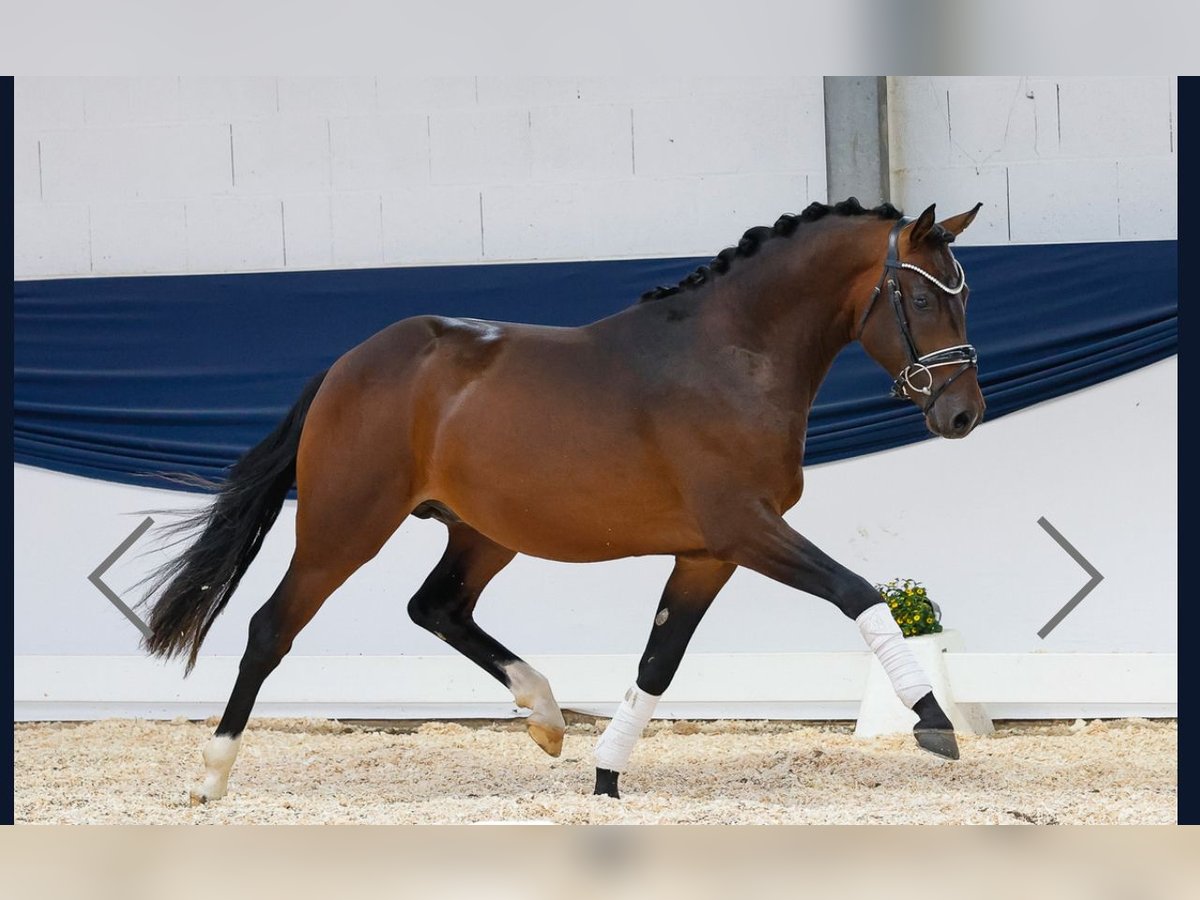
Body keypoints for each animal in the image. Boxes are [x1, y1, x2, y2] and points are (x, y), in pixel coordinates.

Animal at [140, 196, 984, 801]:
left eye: (964, 296)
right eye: (923, 300)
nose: (962, 414)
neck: (732, 355)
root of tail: (348, 365)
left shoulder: (707, 554)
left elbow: (658, 662)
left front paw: (606, 775)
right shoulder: (747, 529)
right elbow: (858, 592)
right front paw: (934, 722)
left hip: (484, 533)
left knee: (436, 607)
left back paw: (545, 717)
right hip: (343, 529)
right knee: (270, 628)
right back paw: (211, 776)